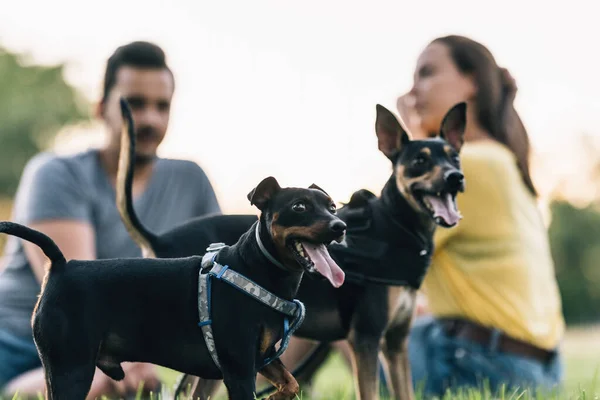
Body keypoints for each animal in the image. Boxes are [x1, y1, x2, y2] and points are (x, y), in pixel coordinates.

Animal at [0, 177, 346, 400]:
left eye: (332, 207)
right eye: (299, 207)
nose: (340, 227)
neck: (254, 269)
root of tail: (60, 265)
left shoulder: (262, 357)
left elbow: (291, 384)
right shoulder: (238, 369)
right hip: (71, 370)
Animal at [115, 101, 466, 400]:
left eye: (455, 157)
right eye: (420, 160)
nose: (456, 177)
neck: (395, 226)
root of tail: (160, 240)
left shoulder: (395, 344)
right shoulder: (365, 338)